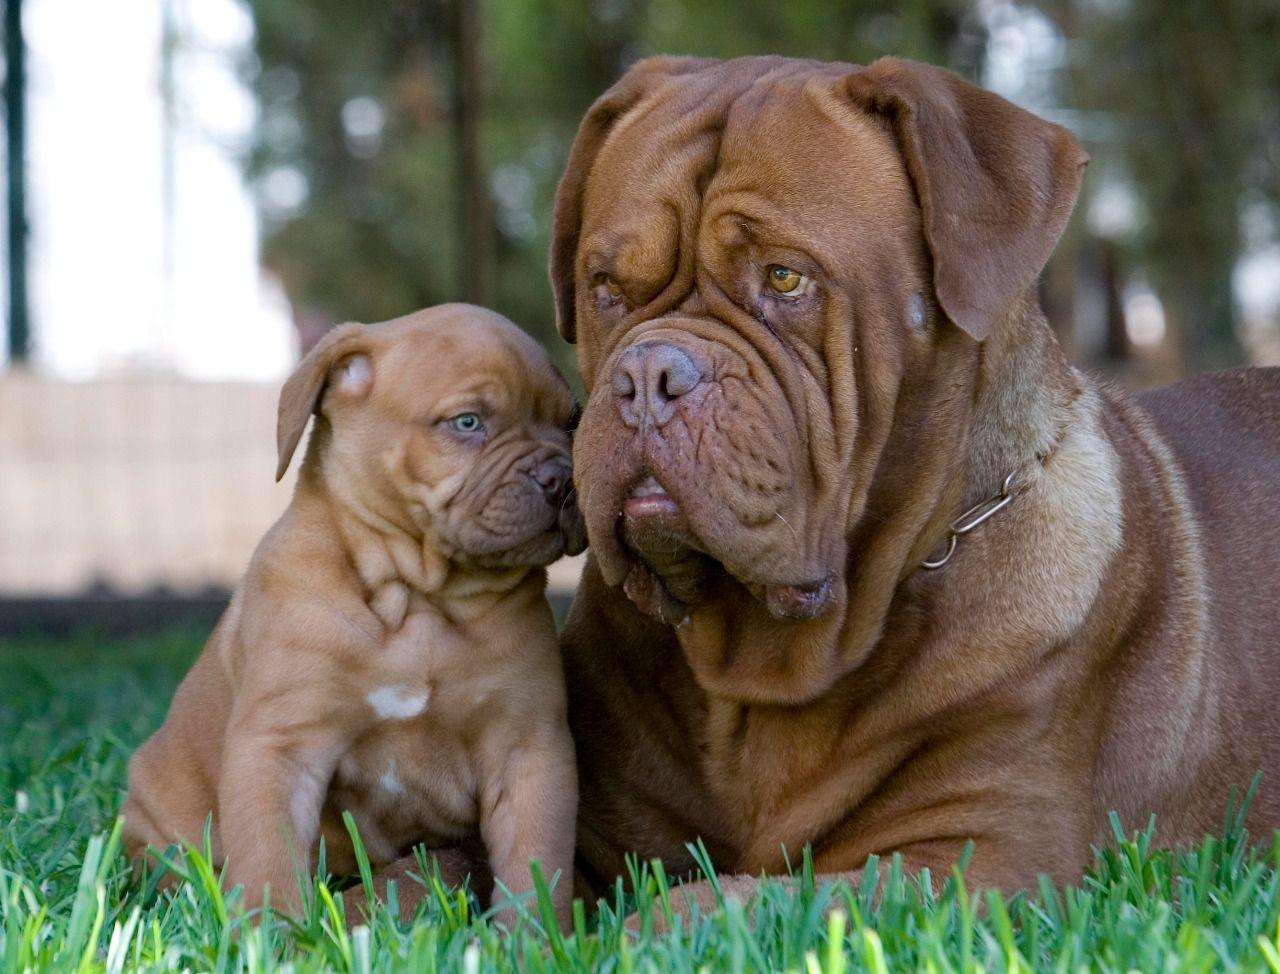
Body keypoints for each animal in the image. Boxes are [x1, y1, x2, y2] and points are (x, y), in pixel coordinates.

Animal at [122, 305, 583, 926]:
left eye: (572, 422)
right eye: (467, 423)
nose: (563, 480)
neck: (418, 597)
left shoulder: (529, 746)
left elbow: (536, 863)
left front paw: (533, 937)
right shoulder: (280, 744)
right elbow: (268, 858)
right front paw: (276, 935)